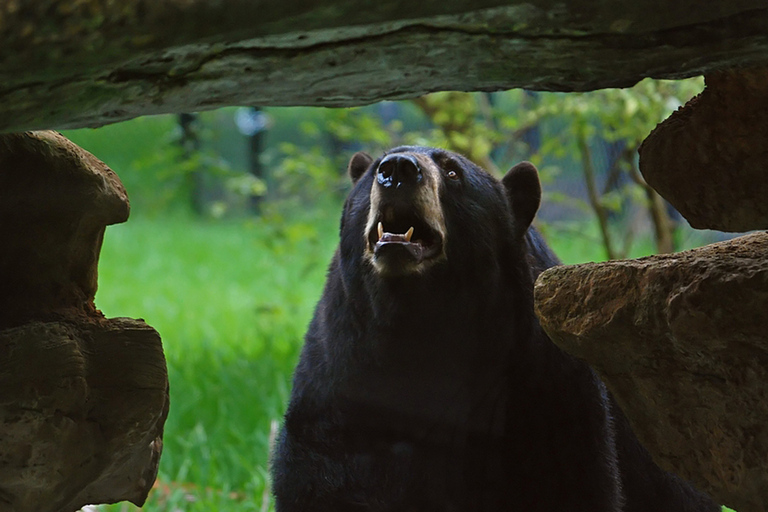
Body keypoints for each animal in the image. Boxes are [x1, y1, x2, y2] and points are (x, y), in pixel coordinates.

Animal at [272, 145, 720, 512]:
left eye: (453, 172)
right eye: (372, 172)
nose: (397, 169)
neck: (416, 320)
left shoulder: (539, 387)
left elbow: (565, 480)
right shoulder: (340, 379)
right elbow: (328, 474)